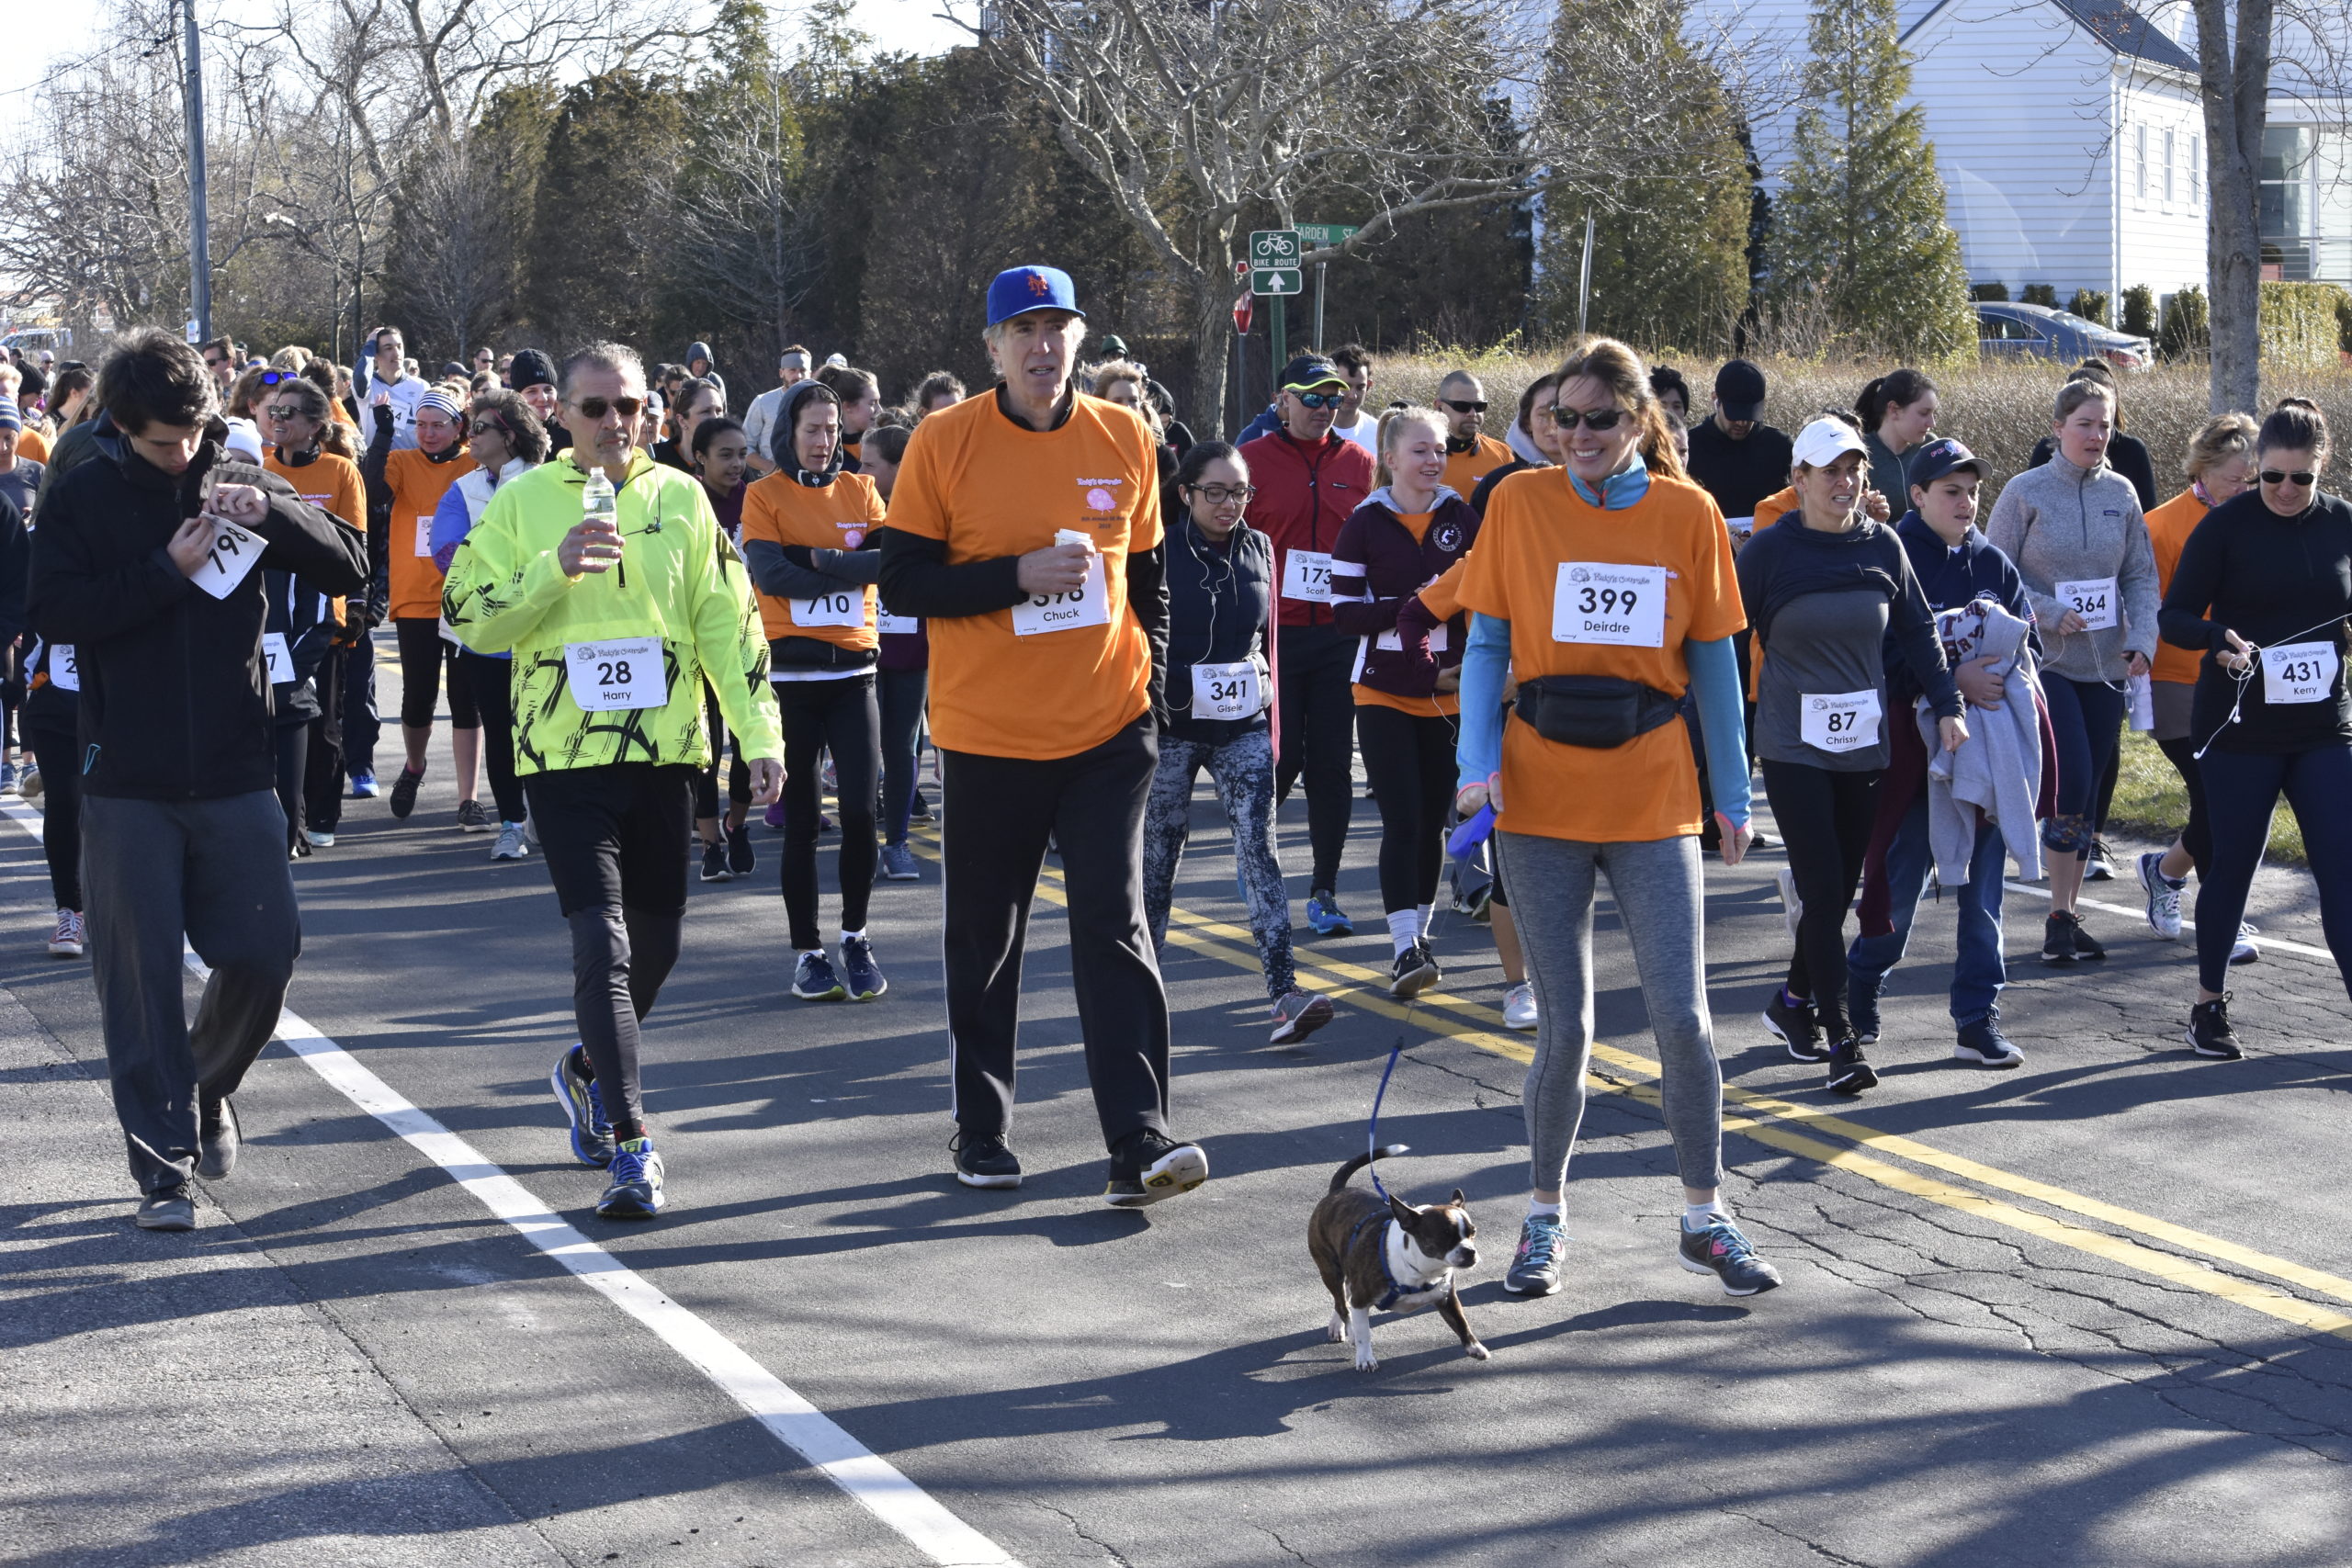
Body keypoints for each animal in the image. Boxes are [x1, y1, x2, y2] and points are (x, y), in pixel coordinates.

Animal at [1307, 1142, 1486, 1372]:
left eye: (1473, 1233)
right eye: (1445, 1235)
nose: (1470, 1251)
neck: (1421, 1270)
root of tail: (1337, 1191)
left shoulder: (1447, 1298)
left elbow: (1461, 1321)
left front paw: (1474, 1346)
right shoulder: (1361, 1299)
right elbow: (1364, 1333)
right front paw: (1365, 1357)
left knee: (1343, 1299)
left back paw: (1337, 1325)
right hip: (1331, 1270)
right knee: (1342, 1304)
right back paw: (1350, 1330)